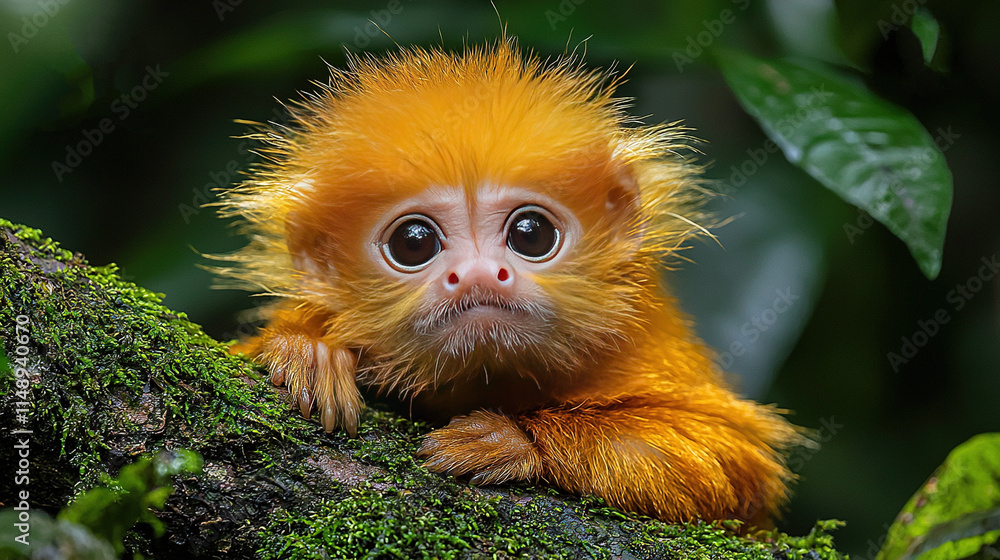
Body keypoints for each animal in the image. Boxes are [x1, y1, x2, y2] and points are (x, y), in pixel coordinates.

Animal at [214, 38, 803, 526]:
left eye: (531, 233)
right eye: (413, 243)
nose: (477, 275)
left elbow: (727, 459)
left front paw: (512, 439)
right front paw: (307, 351)